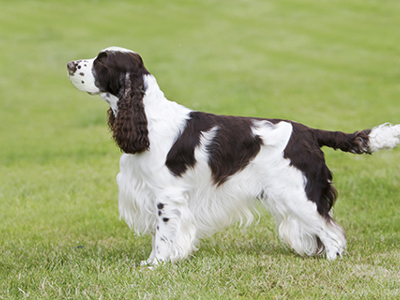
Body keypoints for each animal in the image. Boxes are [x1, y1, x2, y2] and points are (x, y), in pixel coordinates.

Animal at [67, 47, 398, 264]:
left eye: (101, 61)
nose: (70, 64)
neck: (148, 117)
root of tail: (309, 132)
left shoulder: (166, 194)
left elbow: (162, 234)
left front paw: (155, 265)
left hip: (299, 194)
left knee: (331, 232)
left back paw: (331, 260)